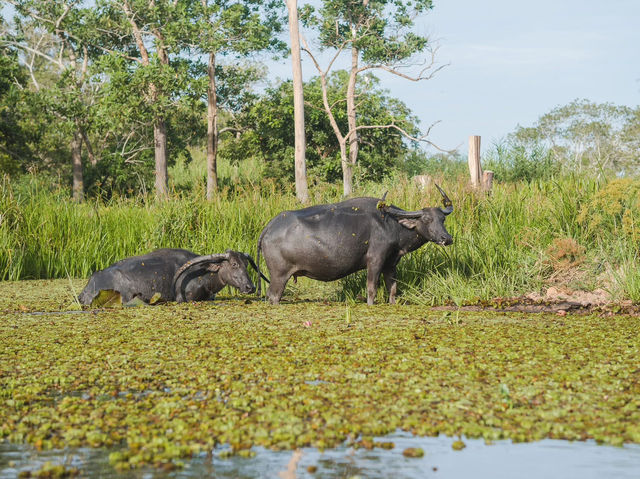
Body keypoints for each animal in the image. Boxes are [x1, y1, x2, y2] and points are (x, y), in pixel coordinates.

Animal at [256, 186, 456, 306]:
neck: (392, 224)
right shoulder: (375, 260)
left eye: (442, 219)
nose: (446, 238)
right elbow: (372, 288)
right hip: (279, 275)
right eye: (427, 219)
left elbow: (392, 288)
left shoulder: (391, 263)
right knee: (273, 296)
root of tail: (271, 226)